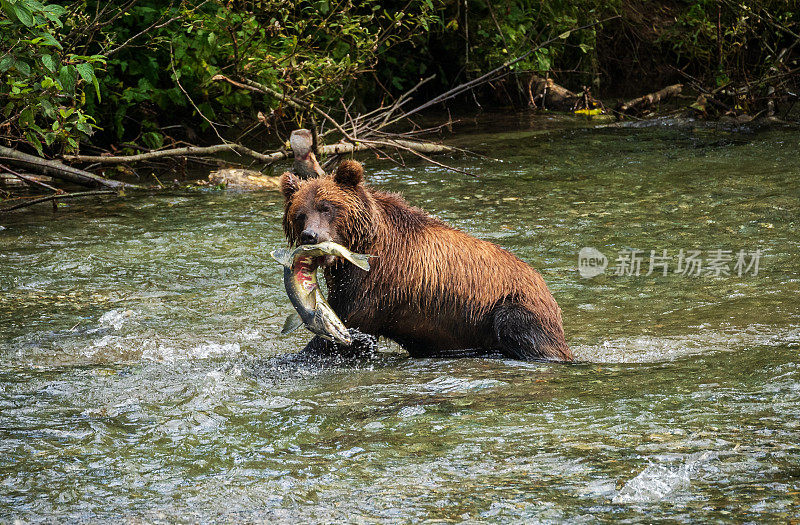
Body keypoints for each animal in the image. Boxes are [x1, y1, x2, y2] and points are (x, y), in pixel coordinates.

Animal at [278, 161, 572, 360]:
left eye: (327, 208)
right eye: (300, 214)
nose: (310, 235)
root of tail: (543, 284)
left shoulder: (377, 280)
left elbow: (349, 323)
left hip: (509, 306)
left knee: (527, 336)